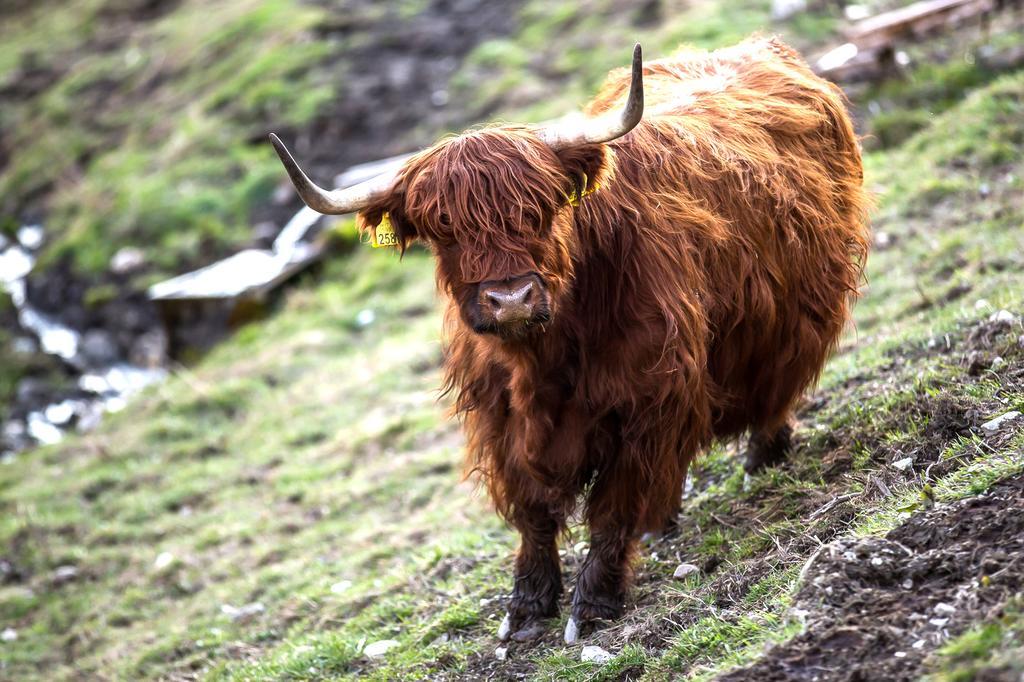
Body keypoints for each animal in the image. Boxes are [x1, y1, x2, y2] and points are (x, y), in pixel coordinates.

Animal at [268, 35, 868, 643]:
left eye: (537, 209)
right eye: (443, 228)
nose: (511, 299)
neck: (546, 360)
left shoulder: (648, 400)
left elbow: (614, 506)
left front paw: (595, 601)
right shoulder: (502, 419)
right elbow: (533, 513)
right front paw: (528, 606)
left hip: (796, 319)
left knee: (777, 389)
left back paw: (763, 458)